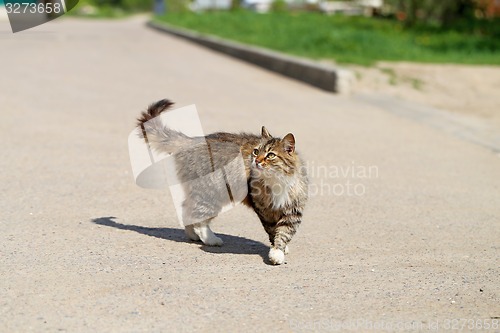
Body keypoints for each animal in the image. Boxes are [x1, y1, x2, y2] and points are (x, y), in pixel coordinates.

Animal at [137, 97, 308, 264]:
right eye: (256, 151)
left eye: (271, 155)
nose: (256, 161)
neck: (277, 180)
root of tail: (194, 140)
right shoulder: (264, 211)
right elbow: (273, 232)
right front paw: (276, 252)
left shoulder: (292, 211)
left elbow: (284, 233)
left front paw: (280, 249)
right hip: (212, 194)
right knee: (199, 218)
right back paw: (210, 239)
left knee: (187, 209)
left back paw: (193, 235)